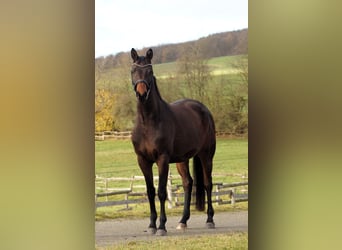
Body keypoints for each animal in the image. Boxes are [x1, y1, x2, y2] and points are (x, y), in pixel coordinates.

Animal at [130, 47, 215, 236]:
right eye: (133, 71)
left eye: (150, 71)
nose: (141, 94)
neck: (149, 122)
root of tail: (203, 109)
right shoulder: (142, 160)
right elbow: (150, 191)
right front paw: (152, 225)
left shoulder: (162, 159)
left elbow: (162, 192)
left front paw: (161, 226)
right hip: (182, 159)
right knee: (188, 183)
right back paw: (183, 221)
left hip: (206, 155)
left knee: (208, 184)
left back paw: (210, 220)